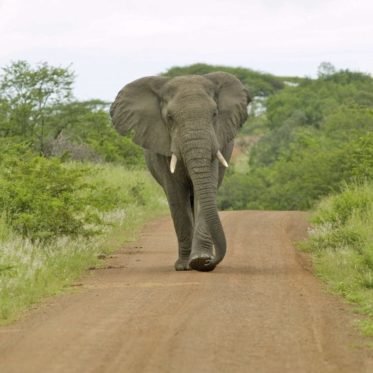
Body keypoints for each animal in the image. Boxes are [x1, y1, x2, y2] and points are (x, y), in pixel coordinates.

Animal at [110, 72, 250, 270]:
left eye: (215, 114)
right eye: (170, 117)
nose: (211, 263)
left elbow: (206, 191)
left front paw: (200, 260)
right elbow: (176, 194)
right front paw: (186, 265)